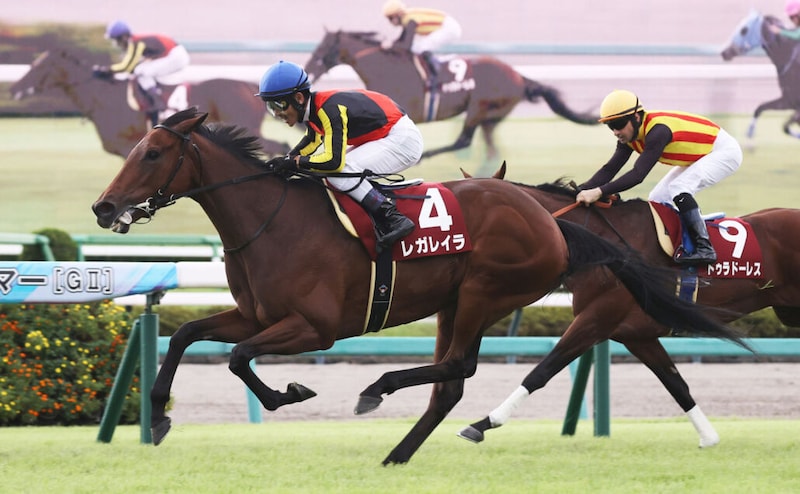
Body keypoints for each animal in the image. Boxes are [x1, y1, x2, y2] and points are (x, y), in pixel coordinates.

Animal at [9, 47, 290, 158]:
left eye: (38, 66)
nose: (14, 89)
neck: (104, 98)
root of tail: (250, 85)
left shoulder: (131, 147)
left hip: (248, 128)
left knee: (279, 145)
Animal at [91, 108, 747, 465]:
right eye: (135, 149)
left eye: (152, 154)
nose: (103, 208)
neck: (270, 219)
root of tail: (551, 220)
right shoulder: (255, 314)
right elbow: (187, 336)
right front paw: (159, 416)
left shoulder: (314, 328)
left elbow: (237, 358)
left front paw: (289, 393)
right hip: (453, 302)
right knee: (449, 384)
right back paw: (397, 453)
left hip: (485, 291)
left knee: (459, 368)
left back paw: (378, 390)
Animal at [304, 30, 598, 161]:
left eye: (323, 49)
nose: (308, 69)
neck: (387, 67)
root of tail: (519, 77)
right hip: (490, 118)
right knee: (491, 149)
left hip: (478, 108)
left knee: (463, 141)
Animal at [457, 169, 798, 448]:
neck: (603, 245)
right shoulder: (636, 334)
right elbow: (676, 383)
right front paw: (708, 437)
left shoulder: (597, 318)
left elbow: (543, 370)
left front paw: (484, 423)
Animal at [721, 10, 800, 140]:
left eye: (744, 30)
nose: (724, 53)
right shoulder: (788, 101)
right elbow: (760, 107)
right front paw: (750, 132)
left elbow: (789, 124)